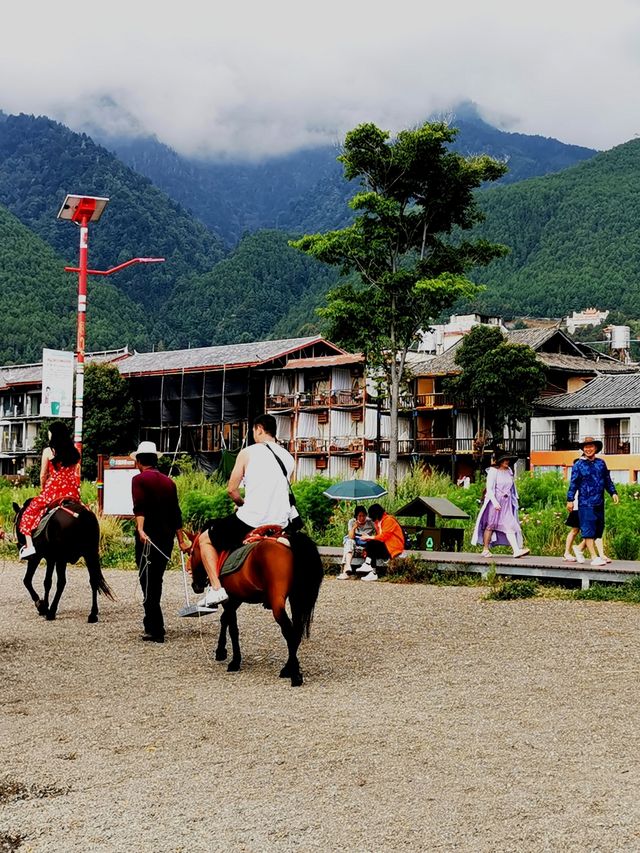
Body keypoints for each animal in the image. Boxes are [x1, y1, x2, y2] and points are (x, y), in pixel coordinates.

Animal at [13, 496, 114, 624]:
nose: (19, 545)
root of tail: (83, 515)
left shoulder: (37, 557)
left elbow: (27, 580)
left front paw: (41, 605)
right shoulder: (51, 558)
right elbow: (47, 582)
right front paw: (45, 605)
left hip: (63, 558)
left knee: (61, 582)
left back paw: (52, 612)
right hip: (90, 554)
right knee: (93, 580)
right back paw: (93, 614)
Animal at [189, 532, 320, 684]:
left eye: (191, 553)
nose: (195, 586)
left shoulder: (230, 601)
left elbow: (233, 629)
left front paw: (235, 662)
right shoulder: (236, 600)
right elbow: (225, 620)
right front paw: (221, 651)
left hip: (278, 602)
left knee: (289, 632)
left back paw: (294, 674)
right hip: (296, 599)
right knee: (296, 631)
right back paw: (288, 668)